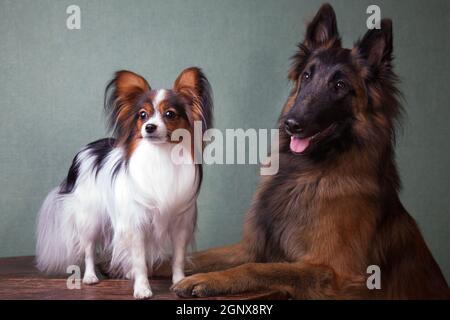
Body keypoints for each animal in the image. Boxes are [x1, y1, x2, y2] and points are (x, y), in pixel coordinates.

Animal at [35, 66, 213, 298]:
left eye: (169, 114)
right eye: (143, 115)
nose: (149, 127)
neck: (160, 155)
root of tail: (86, 151)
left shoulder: (180, 226)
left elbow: (178, 258)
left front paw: (179, 281)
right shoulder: (136, 224)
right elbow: (139, 259)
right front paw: (142, 288)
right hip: (90, 219)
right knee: (89, 250)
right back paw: (90, 277)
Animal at [166, 3, 450, 298]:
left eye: (340, 86)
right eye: (306, 76)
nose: (291, 123)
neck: (308, 174)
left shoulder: (334, 272)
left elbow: (257, 269)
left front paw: (206, 279)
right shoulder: (250, 248)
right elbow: (190, 257)